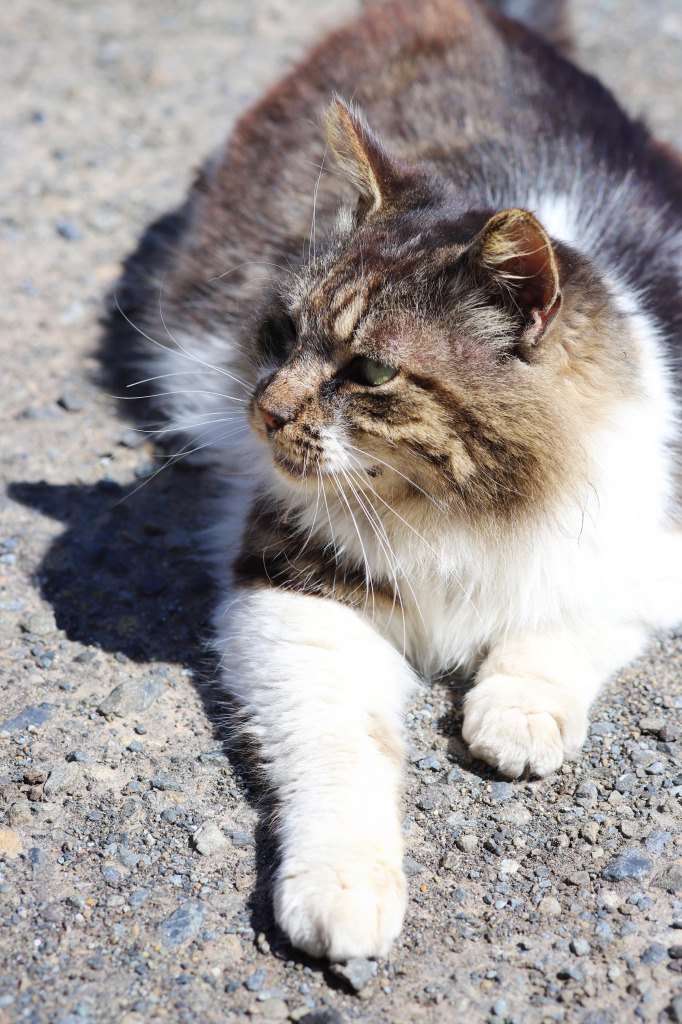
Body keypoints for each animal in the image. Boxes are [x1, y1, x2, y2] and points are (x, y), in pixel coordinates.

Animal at [109, 0, 675, 958]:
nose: (264, 412)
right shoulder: (299, 597)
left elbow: (566, 622)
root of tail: (490, 16)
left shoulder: (647, 542)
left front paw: (518, 714)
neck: (468, 507)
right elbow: (343, 754)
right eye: (280, 331)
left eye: (370, 372)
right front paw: (344, 889)